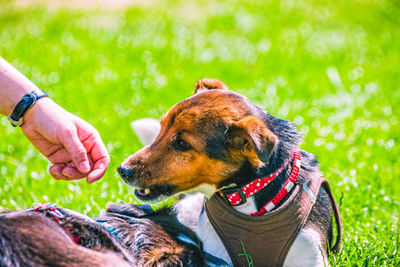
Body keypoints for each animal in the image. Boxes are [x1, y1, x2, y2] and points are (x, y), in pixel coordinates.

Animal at [118, 78, 340, 266]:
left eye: (182, 143)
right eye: (161, 129)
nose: (122, 170)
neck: (247, 198)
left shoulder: (310, 256)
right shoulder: (215, 256)